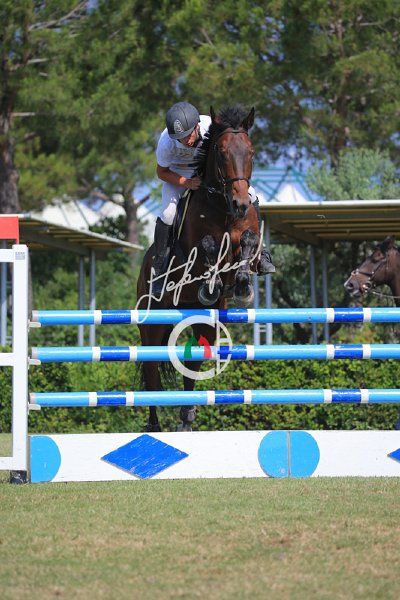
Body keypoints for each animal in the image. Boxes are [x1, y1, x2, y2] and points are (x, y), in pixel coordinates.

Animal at [136, 105, 271, 432]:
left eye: (250, 151)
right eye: (221, 153)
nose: (240, 203)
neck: (222, 207)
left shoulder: (246, 238)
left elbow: (248, 243)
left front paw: (243, 286)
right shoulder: (196, 252)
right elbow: (209, 246)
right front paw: (213, 285)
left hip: (203, 321)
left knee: (192, 365)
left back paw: (187, 417)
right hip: (151, 324)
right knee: (151, 375)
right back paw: (154, 426)